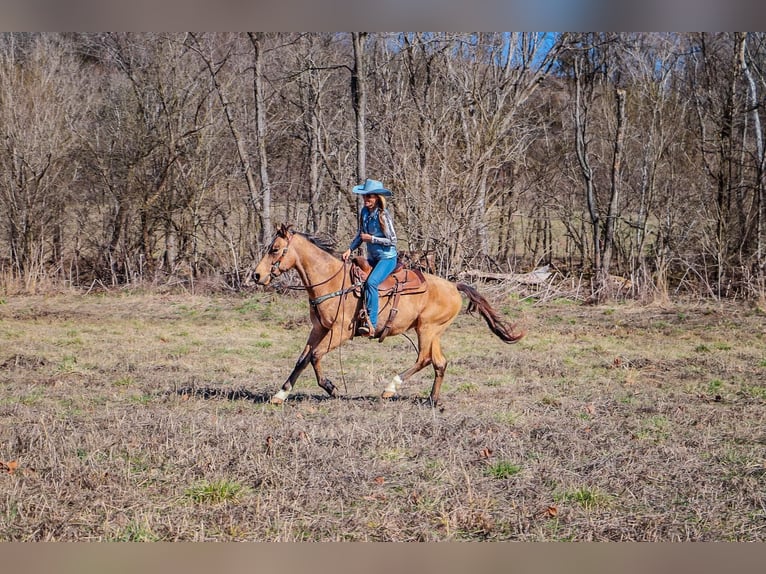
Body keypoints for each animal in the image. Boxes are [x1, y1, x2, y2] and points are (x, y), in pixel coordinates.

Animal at [249, 223, 524, 408]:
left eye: (275, 249)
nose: (256, 275)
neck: (332, 281)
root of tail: (454, 286)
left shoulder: (340, 331)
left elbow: (315, 355)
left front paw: (332, 388)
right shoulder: (319, 328)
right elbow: (302, 359)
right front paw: (281, 394)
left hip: (426, 329)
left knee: (424, 358)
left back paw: (390, 388)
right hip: (434, 331)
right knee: (439, 362)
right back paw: (433, 400)